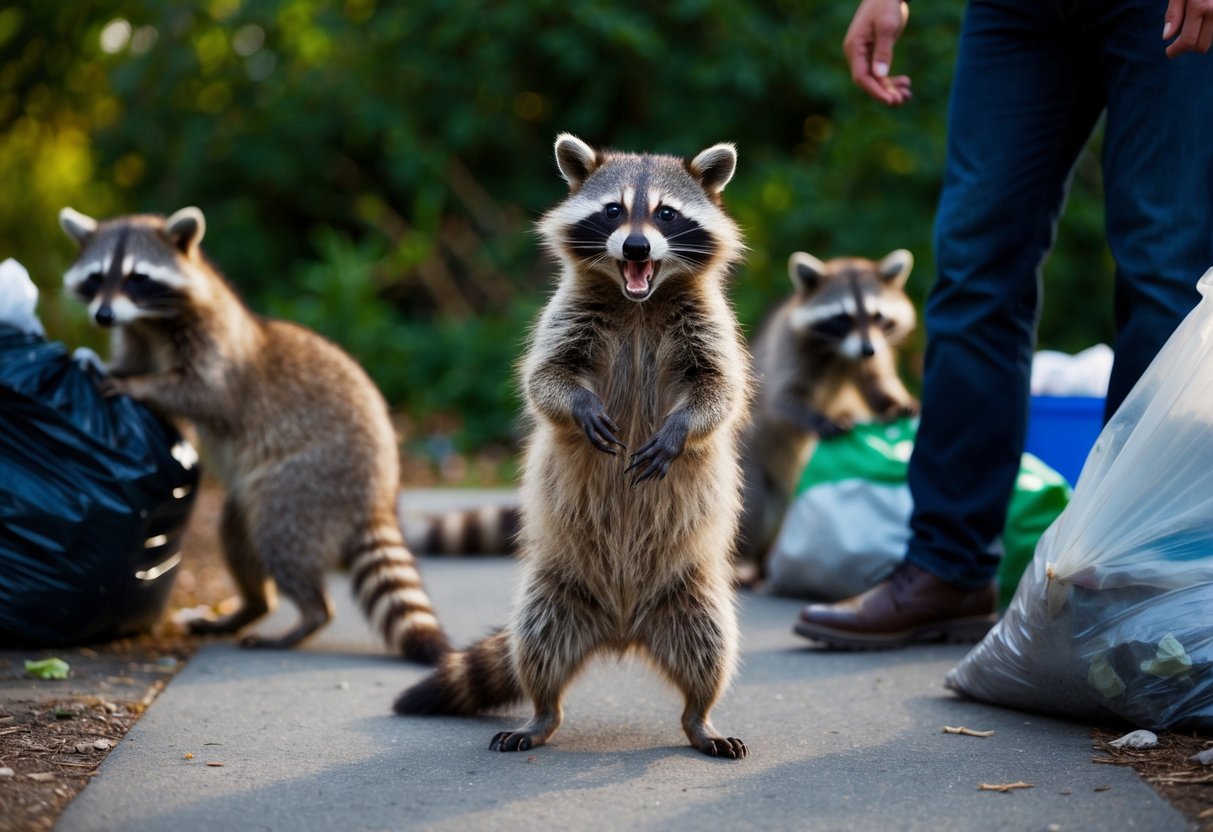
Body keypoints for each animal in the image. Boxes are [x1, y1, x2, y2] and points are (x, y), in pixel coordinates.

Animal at [59, 206, 450, 663]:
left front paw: (137, 386)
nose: (103, 316)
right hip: (261, 499)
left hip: (309, 482)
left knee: (279, 537)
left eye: (138, 277)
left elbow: (203, 394)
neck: (149, 320)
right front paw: (102, 363)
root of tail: (381, 491)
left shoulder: (217, 346)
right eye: (96, 277)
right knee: (237, 535)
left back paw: (309, 614)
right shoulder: (136, 336)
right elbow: (138, 368)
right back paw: (250, 607)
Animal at [394, 134, 751, 759]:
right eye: (613, 210)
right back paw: (543, 713)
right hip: (554, 591)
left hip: (694, 593)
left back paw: (700, 716)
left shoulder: (710, 325)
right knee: (538, 645)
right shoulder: (564, 316)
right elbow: (544, 379)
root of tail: (624, 629)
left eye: (665, 214)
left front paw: (679, 430)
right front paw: (577, 406)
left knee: (710, 647)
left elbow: (720, 390)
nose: (636, 244)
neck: (638, 299)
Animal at [734, 250, 917, 579]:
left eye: (878, 316)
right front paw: (819, 419)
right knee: (756, 512)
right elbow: (783, 398)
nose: (867, 349)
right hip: (752, 469)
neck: (842, 353)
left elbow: (878, 385)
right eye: (842, 318)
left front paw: (896, 403)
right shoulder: (790, 348)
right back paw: (743, 562)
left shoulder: (877, 350)